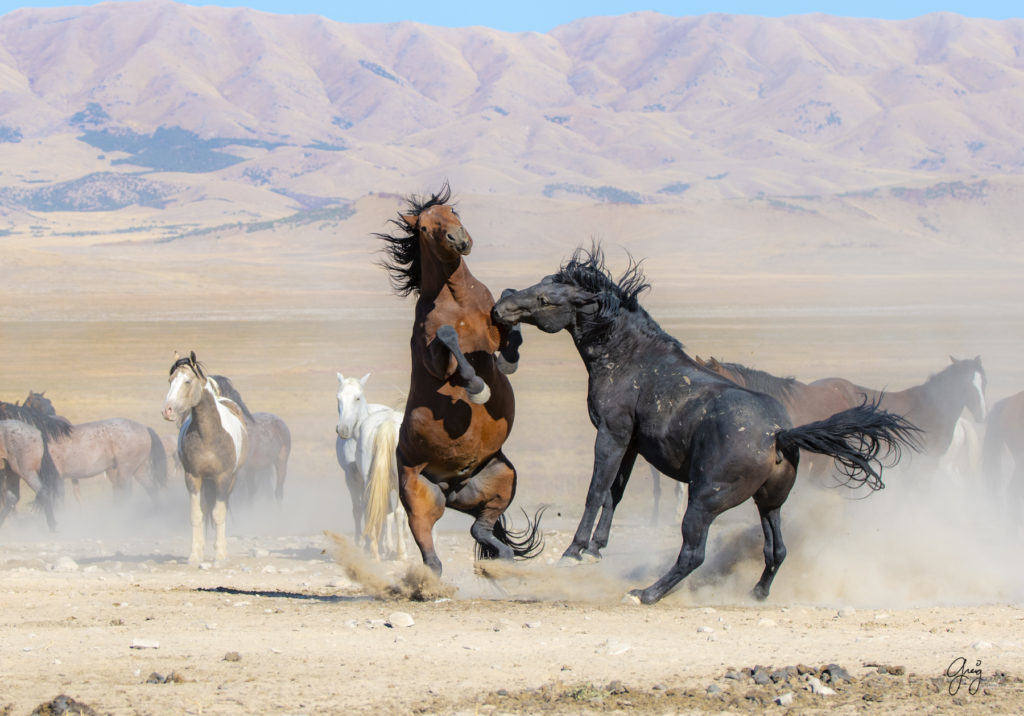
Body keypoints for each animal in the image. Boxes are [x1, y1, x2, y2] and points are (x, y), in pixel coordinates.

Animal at [22, 391, 167, 503]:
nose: (53, 412)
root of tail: (145, 428)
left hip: (125, 471)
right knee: (151, 489)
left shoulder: (56, 479)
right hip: (138, 469)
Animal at [161, 352, 247, 565]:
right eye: (170, 380)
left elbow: (218, 514)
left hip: (230, 480)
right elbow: (196, 515)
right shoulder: (192, 477)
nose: (167, 410)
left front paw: (220, 555)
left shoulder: (223, 478)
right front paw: (194, 555)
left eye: (187, 381)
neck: (208, 434)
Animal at [339, 372, 411, 561]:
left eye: (357, 397)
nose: (343, 429)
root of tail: (387, 424)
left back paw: (375, 549)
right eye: (338, 399)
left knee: (376, 508)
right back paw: (400, 552)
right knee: (396, 512)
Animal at [380, 186, 544, 577]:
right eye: (425, 228)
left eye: (453, 211)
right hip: (419, 499)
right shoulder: (434, 360)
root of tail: (452, 487)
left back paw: (505, 563)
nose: (459, 239)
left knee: (479, 529)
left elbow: (507, 311)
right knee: (431, 556)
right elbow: (448, 337)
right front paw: (477, 387)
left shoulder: (493, 325)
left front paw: (508, 359)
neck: (457, 297)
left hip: (502, 477)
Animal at [489, 246, 921, 606]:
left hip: (704, 501)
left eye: (545, 299)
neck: (631, 357)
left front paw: (574, 553)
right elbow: (615, 494)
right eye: (542, 283)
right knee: (776, 550)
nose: (500, 308)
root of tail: (778, 435)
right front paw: (596, 551)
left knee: (693, 553)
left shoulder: (611, 433)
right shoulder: (631, 442)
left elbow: (596, 492)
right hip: (769, 503)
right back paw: (755, 594)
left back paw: (645, 593)